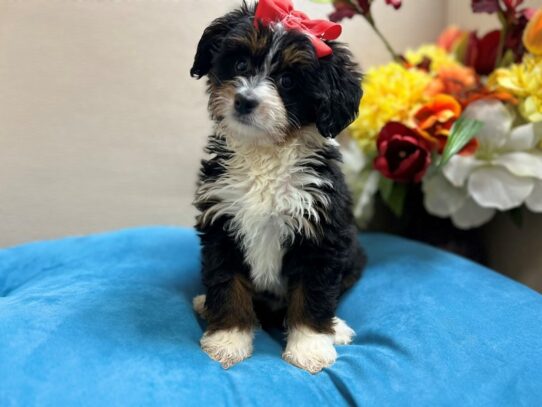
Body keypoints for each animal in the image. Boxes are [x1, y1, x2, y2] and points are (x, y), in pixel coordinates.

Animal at [190, 1, 366, 374]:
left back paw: (337, 328)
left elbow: (313, 294)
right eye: (241, 64)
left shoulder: (321, 232)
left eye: (287, 81)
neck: (265, 152)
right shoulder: (222, 221)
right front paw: (228, 339)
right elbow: (227, 283)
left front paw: (310, 347)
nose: (245, 100)